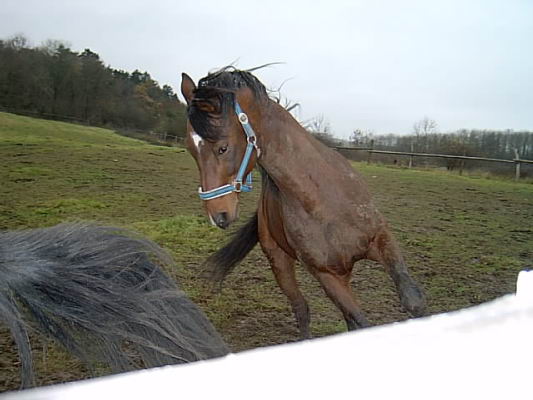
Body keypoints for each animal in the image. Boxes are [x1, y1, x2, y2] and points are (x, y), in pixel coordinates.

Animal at [181, 68, 426, 338]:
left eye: (223, 148)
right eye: (191, 150)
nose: (218, 215)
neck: (322, 201)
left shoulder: (381, 239)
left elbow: (412, 301)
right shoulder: (327, 275)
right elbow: (358, 321)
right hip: (280, 262)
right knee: (301, 308)